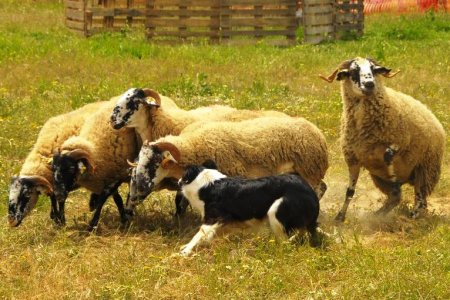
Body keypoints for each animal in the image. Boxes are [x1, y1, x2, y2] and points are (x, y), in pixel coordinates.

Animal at [51, 98, 139, 230]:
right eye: (53, 168)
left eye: (71, 168)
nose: (58, 195)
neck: (96, 148)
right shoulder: (108, 176)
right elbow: (117, 199)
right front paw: (123, 217)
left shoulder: (117, 176)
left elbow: (103, 198)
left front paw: (92, 225)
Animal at [128, 116, 328, 212]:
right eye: (140, 161)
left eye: (155, 162)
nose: (140, 186)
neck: (195, 144)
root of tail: (317, 131)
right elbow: (181, 202)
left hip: (310, 170)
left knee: (318, 190)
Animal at [320, 56, 446, 220]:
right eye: (353, 71)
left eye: (374, 69)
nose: (369, 84)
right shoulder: (353, 159)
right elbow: (349, 192)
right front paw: (340, 217)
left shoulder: (402, 140)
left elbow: (388, 154)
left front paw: (393, 173)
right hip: (379, 178)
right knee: (395, 198)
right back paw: (377, 215)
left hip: (425, 169)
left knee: (421, 199)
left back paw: (413, 215)